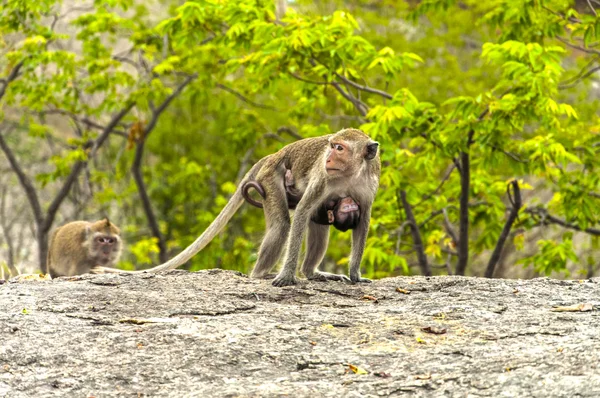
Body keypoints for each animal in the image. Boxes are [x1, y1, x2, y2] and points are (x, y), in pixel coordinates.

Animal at [120, 128, 380, 286]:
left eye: (340, 148)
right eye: (332, 146)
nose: (327, 158)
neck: (350, 174)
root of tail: (274, 154)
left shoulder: (369, 185)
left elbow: (363, 221)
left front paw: (355, 274)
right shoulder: (323, 178)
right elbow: (302, 213)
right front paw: (287, 274)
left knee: (318, 224)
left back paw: (311, 272)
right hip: (270, 178)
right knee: (282, 225)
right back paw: (261, 274)